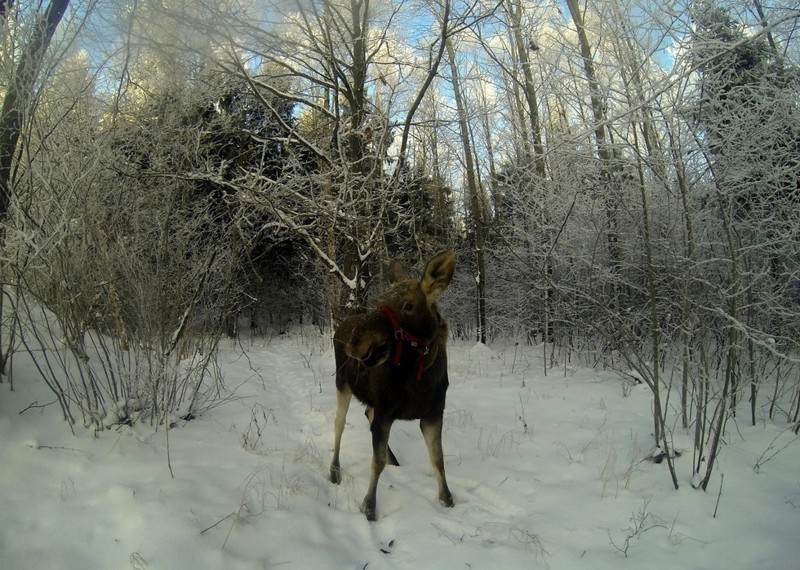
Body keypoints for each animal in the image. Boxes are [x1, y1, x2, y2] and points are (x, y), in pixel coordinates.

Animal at [330, 248, 456, 520]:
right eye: (381, 299)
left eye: (409, 306)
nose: (355, 341)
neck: (420, 379)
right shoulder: (385, 411)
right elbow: (375, 463)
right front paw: (369, 507)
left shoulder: (433, 413)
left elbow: (438, 459)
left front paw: (447, 500)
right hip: (342, 384)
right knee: (339, 424)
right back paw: (334, 470)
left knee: (366, 413)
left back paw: (393, 460)